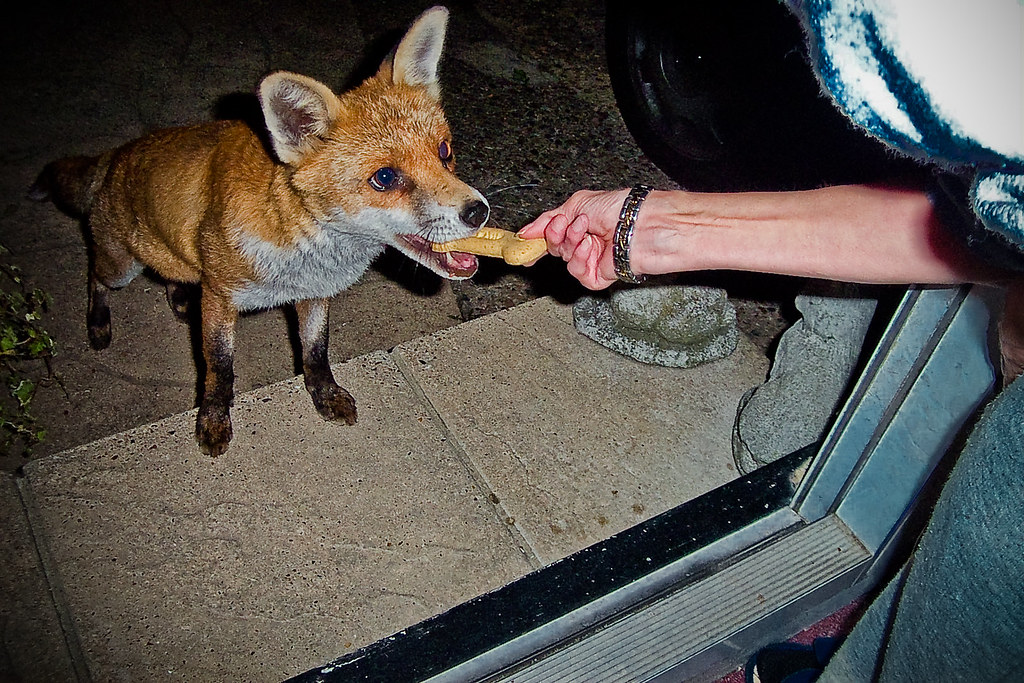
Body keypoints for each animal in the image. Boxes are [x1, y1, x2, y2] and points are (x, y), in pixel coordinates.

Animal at [29, 6, 487, 456]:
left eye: (445, 152)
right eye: (385, 178)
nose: (478, 212)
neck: (306, 247)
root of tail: (116, 155)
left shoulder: (314, 294)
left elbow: (315, 352)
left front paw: (324, 394)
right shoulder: (220, 296)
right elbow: (219, 369)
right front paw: (213, 420)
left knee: (172, 275)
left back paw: (179, 297)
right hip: (121, 268)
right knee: (95, 276)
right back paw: (98, 322)